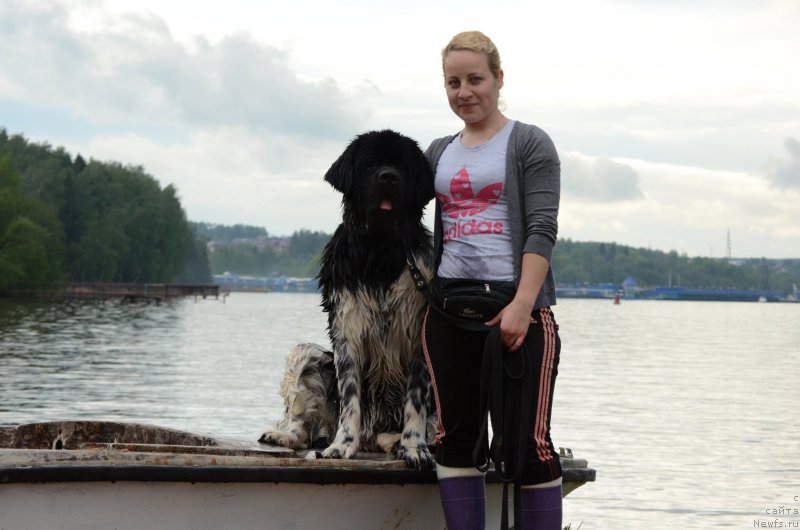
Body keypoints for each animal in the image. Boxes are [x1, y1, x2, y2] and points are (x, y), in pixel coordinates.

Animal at [260, 130, 438, 468]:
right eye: (370, 163)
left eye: (403, 166)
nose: (388, 176)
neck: (380, 251)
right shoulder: (347, 332)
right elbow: (351, 399)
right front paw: (341, 446)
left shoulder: (418, 334)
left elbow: (416, 402)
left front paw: (414, 447)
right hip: (308, 355)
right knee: (303, 427)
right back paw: (282, 435)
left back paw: (395, 441)